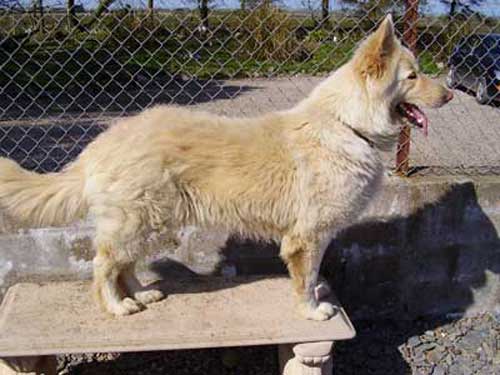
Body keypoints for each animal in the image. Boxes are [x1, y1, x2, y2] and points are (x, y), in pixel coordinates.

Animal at [0, 14, 454, 320]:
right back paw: (116, 306)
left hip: (152, 224)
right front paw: (311, 311)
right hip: (140, 222)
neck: (348, 123)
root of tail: (100, 143)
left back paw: (140, 294)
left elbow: (309, 277)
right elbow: (307, 279)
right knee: (103, 265)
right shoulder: (308, 237)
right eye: (413, 76)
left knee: (124, 264)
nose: (450, 95)